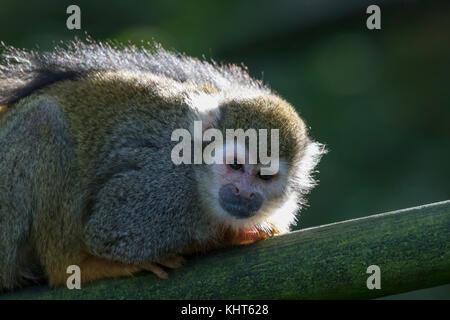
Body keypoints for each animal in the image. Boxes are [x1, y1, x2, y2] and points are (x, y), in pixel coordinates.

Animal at [0, 39, 324, 290]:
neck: (199, 181)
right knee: (44, 120)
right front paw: (229, 237)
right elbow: (108, 234)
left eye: (264, 176)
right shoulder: (164, 193)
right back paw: (74, 265)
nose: (243, 193)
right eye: (234, 166)